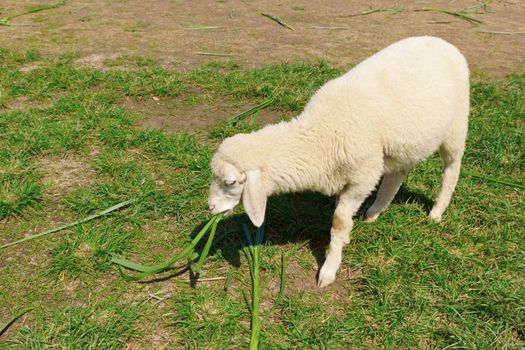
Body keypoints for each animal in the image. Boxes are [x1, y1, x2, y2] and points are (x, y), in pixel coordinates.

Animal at [207, 36, 468, 288]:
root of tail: (443, 42)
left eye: (231, 182)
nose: (209, 207)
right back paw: (374, 212)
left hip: (456, 126)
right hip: (399, 146)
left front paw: (329, 268)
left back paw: (436, 212)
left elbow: (339, 221)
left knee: (452, 169)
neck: (319, 135)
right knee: (397, 174)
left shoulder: (364, 177)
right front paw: (346, 238)